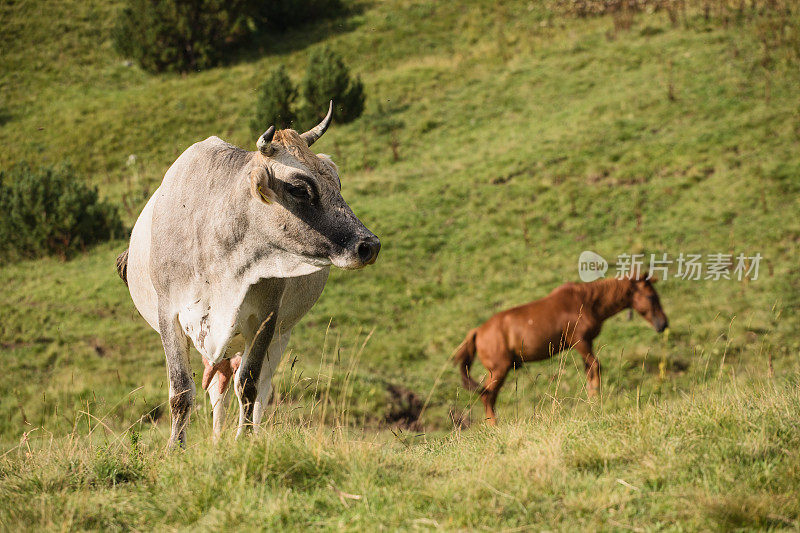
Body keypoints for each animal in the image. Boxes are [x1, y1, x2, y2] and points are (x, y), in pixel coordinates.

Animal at [116, 104, 382, 444]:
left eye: (336, 181)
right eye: (299, 188)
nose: (369, 245)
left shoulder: (265, 319)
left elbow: (249, 385)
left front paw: (245, 441)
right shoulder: (169, 314)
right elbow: (181, 391)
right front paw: (176, 447)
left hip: (278, 336)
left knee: (258, 390)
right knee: (218, 389)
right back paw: (216, 439)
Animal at [450, 274, 668, 424]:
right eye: (651, 296)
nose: (663, 324)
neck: (587, 301)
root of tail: (477, 332)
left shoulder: (586, 345)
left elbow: (589, 371)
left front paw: (592, 399)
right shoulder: (581, 342)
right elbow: (595, 367)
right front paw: (596, 400)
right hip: (499, 370)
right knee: (487, 396)